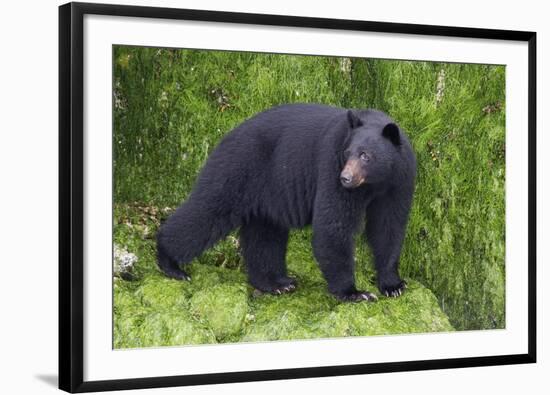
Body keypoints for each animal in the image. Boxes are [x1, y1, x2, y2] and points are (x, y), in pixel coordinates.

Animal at [157, 103, 416, 302]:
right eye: (347, 152)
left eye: (365, 155)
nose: (345, 178)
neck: (375, 183)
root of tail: (227, 135)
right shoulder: (330, 166)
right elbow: (333, 225)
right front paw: (354, 292)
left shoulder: (399, 181)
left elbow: (389, 226)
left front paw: (393, 285)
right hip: (237, 169)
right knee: (207, 212)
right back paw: (170, 262)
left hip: (265, 193)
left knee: (264, 236)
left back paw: (276, 283)